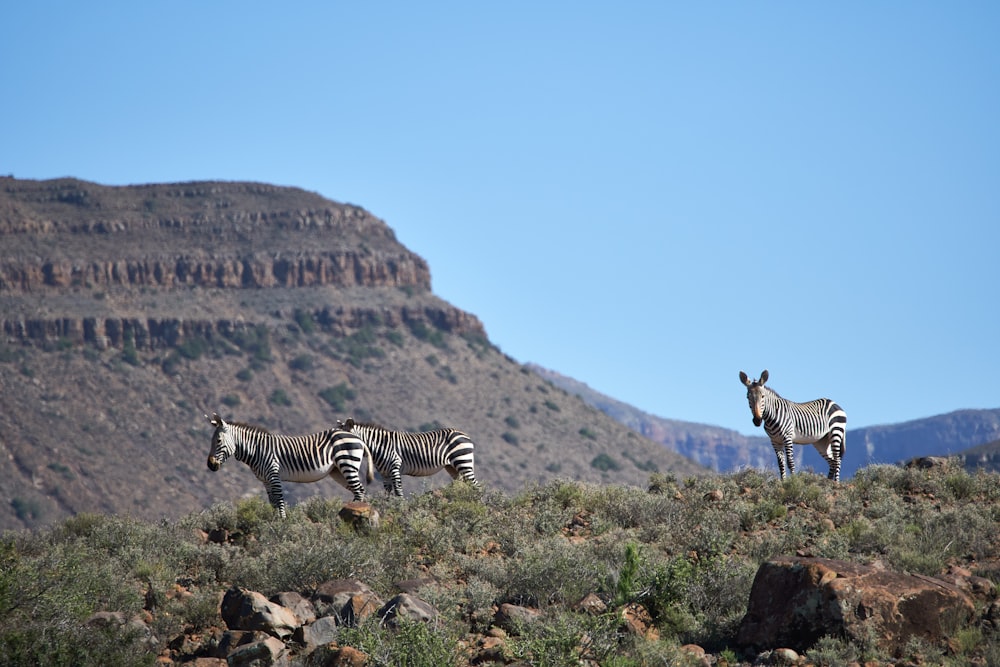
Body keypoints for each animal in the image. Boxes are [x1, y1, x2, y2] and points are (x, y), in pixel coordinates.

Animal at [205, 412, 374, 520]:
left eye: (218, 441)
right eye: (210, 440)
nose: (210, 465)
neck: (257, 450)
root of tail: (357, 437)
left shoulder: (274, 475)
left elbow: (279, 500)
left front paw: (283, 523)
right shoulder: (266, 481)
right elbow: (272, 502)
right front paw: (272, 522)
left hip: (348, 464)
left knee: (359, 490)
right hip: (338, 471)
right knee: (358, 490)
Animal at [334, 418, 482, 496]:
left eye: (344, 437)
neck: (379, 446)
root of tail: (464, 434)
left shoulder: (394, 468)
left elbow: (398, 491)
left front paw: (399, 508)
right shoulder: (384, 474)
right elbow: (388, 494)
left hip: (463, 461)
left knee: (476, 486)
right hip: (452, 467)